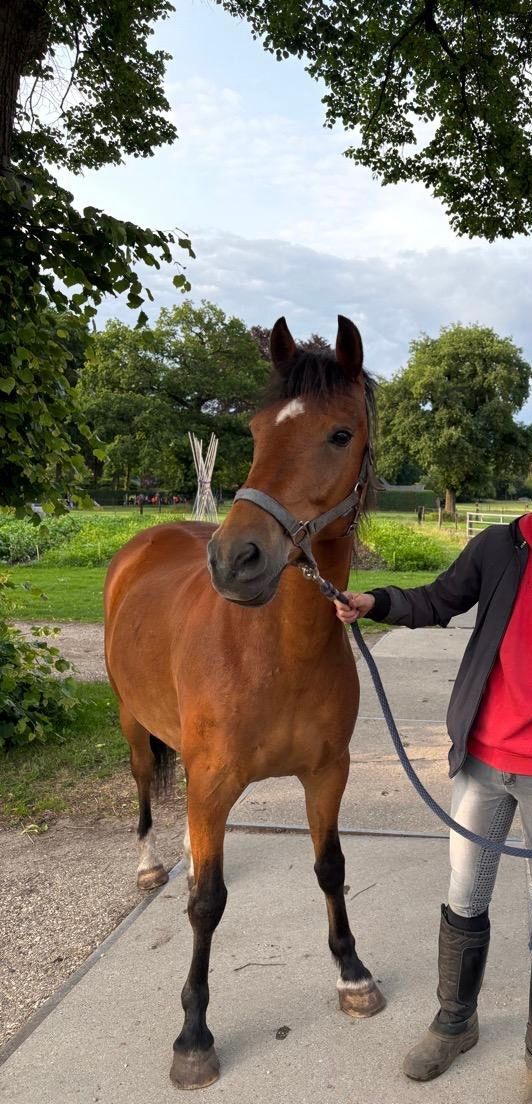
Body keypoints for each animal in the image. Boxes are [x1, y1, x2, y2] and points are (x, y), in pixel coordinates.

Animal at [104, 314, 385, 1090]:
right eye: (257, 432)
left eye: (340, 433)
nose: (235, 561)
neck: (274, 654)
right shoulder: (214, 782)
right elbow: (206, 905)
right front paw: (194, 1035)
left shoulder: (326, 774)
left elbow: (331, 868)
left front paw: (352, 972)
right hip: (133, 724)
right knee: (144, 787)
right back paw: (150, 863)